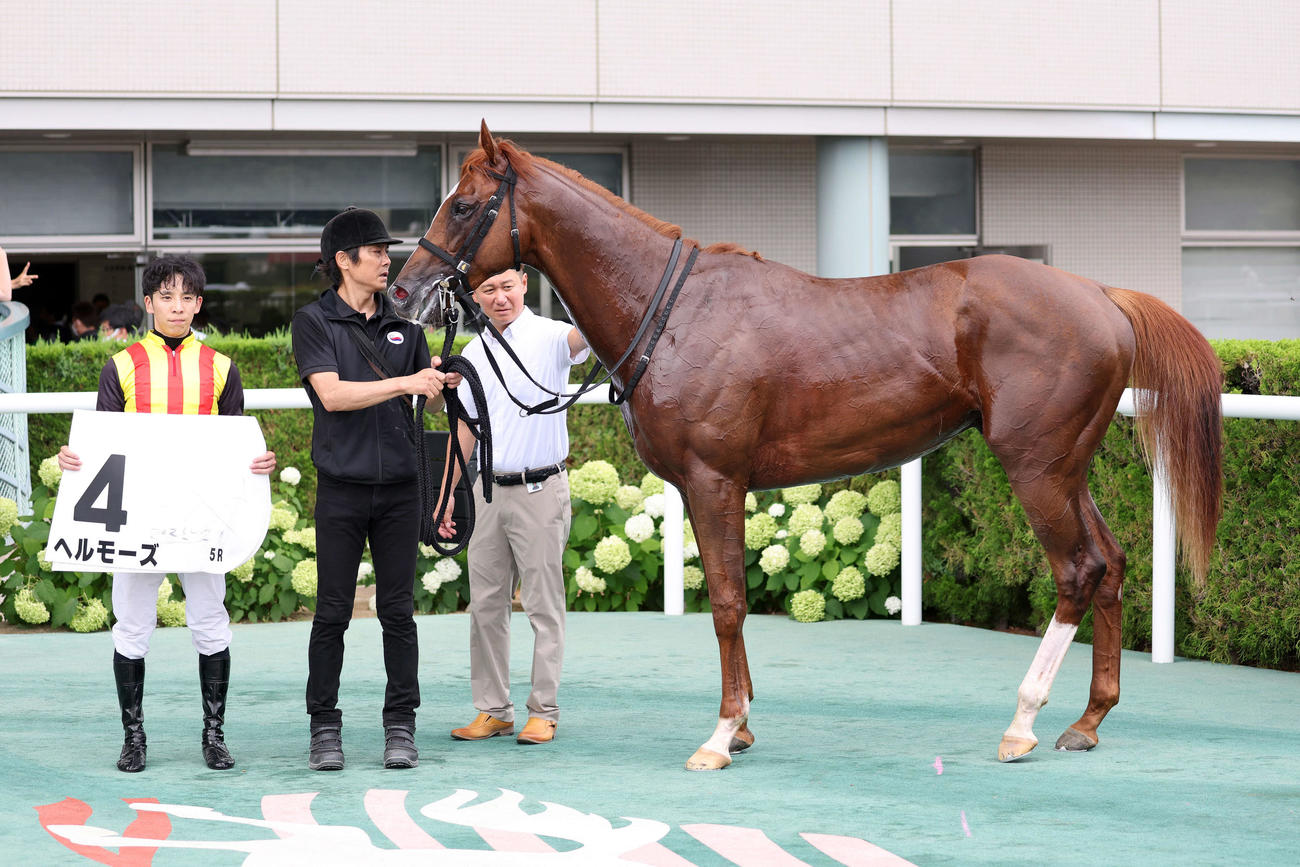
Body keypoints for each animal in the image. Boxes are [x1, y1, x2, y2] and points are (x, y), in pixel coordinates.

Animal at [391, 122, 1223, 770]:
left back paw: (1022, 722)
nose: (405, 291)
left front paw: (721, 734)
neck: (675, 309)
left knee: (1078, 570)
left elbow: (728, 601)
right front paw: (743, 725)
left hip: (1036, 468)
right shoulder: (706, 487)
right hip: (1069, 466)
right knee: (1111, 562)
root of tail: (1102, 296)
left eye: (463, 204)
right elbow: (727, 599)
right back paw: (1086, 721)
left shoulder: (714, 480)